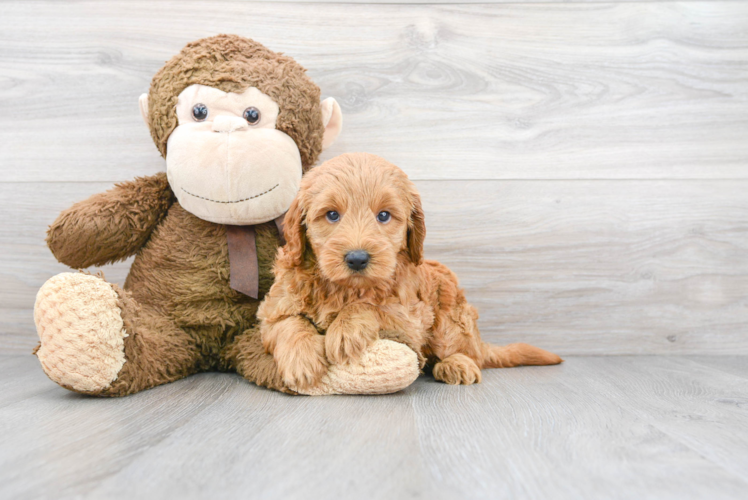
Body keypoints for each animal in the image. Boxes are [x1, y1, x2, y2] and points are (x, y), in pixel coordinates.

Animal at [258, 152, 560, 390]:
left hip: (450, 319)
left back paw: (456, 365)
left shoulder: (410, 321)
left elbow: (371, 306)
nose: (357, 259)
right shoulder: (274, 307)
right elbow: (287, 323)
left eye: (383, 216)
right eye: (332, 215)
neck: (345, 288)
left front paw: (344, 330)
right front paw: (302, 360)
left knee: (467, 354)